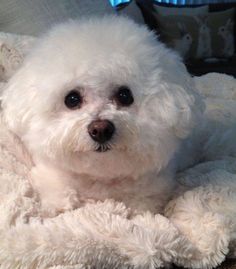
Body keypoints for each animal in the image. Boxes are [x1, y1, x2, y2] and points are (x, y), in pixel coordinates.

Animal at [0, 16, 204, 214]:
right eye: (72, 99)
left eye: (125, 96)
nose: (100, 130)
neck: (99, 179)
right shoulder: (49, 173)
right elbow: (56, 189)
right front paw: (59, 204)